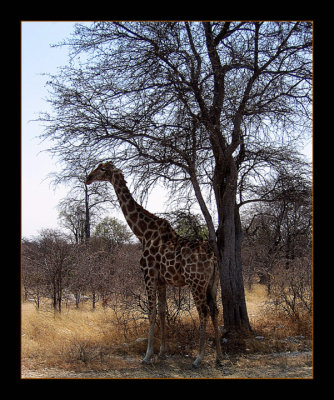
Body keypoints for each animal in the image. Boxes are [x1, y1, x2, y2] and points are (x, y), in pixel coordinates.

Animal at [85, 161, 223, 368]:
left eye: (102, 169)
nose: (87, 178)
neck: (143, 233)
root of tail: (213, 259)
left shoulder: (148, 274)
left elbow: (151, 312)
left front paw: (148, 355)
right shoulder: (162, 280)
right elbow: (163, 312)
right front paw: (162, 353)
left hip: (196, 283)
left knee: (203, 312)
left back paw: (198, 358)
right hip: (212, 283)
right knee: (214, 310)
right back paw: (219, 357)